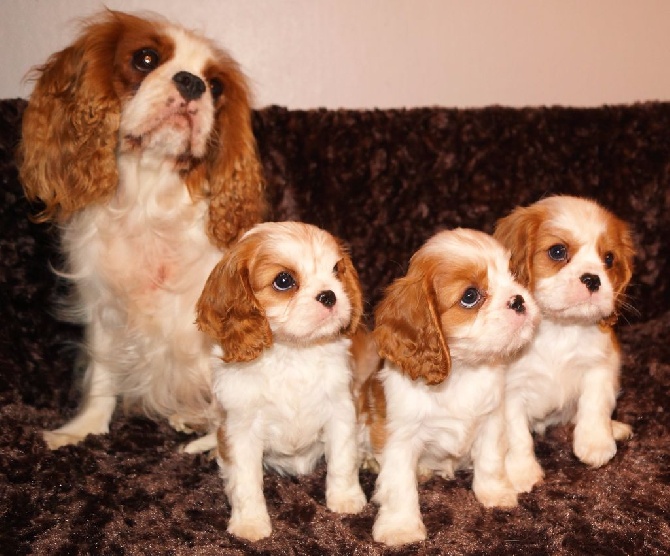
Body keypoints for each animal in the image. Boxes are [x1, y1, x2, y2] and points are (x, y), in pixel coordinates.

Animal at [18, 10, 266, 450]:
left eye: (216, 85)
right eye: (146, 58)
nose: (193, 82)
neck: (150, 196)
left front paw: (217, 443)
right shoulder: (105, 307)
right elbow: (102, 376)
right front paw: (84, 430)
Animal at [197, 223, 368, 544]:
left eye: (336, 270)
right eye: (284, 280)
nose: (329, 295)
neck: (293, 352)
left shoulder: (341, 410)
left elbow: (342, 460)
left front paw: (346, 499)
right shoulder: (240, 428)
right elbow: (245, 481)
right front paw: (250, 523)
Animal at [360, 228, 540, 544]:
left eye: (514, 275)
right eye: (470, 296)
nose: (518, 300)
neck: (462, 371)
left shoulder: (491, 420)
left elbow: (490, 460)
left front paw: (495, 494)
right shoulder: (400, 438)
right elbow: (399, 486)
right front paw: (400, 528)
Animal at [498, 194, 636, 490]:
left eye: (609, 259)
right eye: (558, 252)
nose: (593, 279)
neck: (558, 328)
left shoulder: (601, 365)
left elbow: (594, 404)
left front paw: (596, 443)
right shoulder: (509, 390)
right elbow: (516, 435)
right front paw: (521, 473)